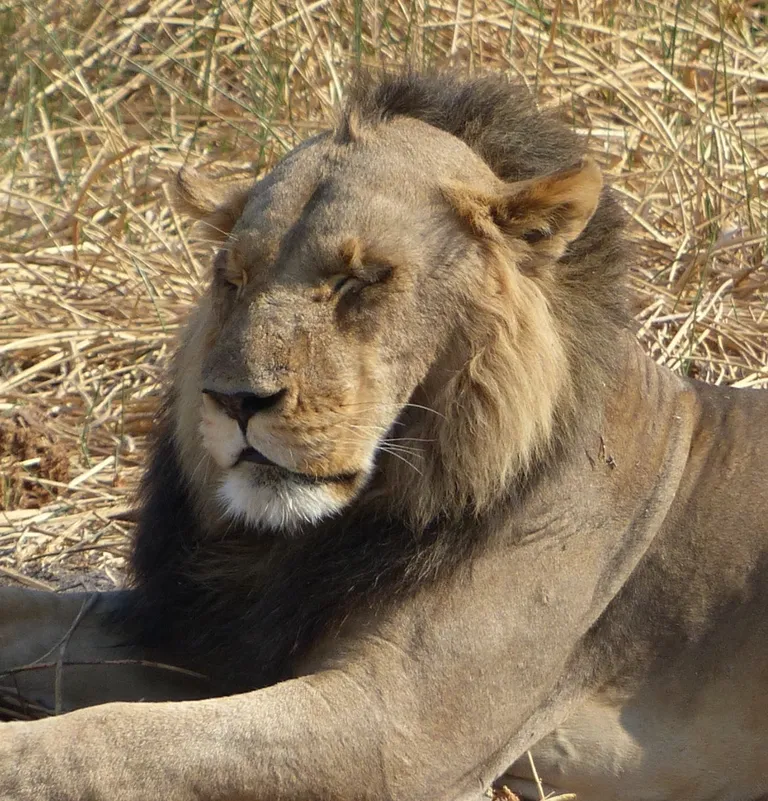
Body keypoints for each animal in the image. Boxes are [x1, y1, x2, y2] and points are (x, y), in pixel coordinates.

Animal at [1, 72, 767, 801]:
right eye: (233, 277)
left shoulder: (396, 730)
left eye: (360, 279)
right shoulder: (203, 637)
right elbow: (33, 614)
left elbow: (117, 738)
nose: (235, 399)